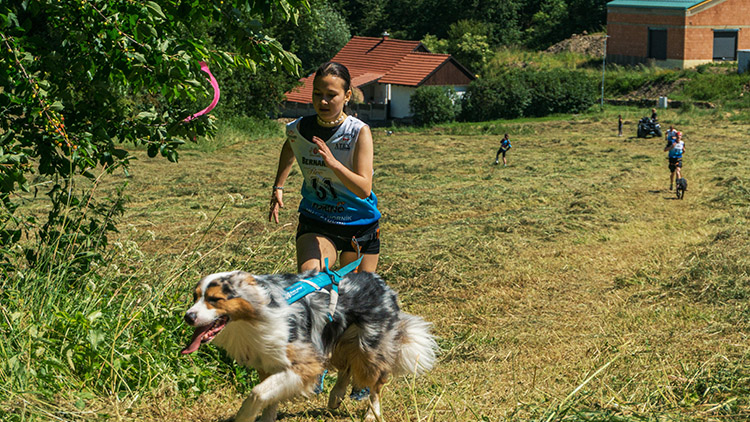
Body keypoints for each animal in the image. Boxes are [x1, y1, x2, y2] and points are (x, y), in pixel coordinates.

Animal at [184, 270, 440, 422]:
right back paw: (336, 396)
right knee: (347, 367)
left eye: (215, 299)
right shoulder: (269, 363)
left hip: (369, 347)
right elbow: (269, 398)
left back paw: (371, 413)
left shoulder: (304, 363)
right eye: (195, 297)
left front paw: (244, 417)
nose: (188, 317)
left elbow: (257, 393)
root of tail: (382, 284)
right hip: (338, 340)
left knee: (375, 383)